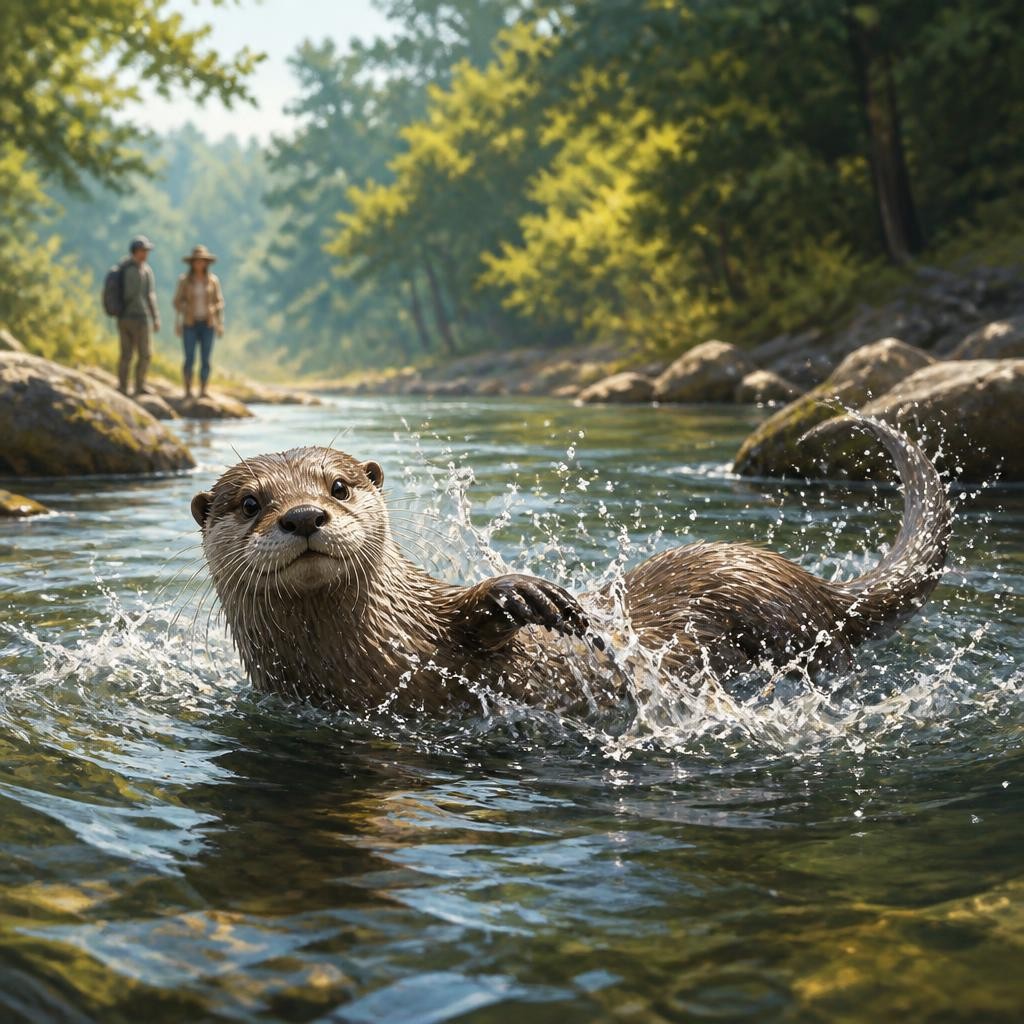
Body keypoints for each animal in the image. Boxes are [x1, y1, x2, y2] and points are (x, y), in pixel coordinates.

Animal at [190, 416, 950, 715]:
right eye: (251, 502)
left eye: (339, 486)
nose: (303, 516)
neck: (379, 652)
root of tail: (821, 591)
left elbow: (487, 620)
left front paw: (523, 597)